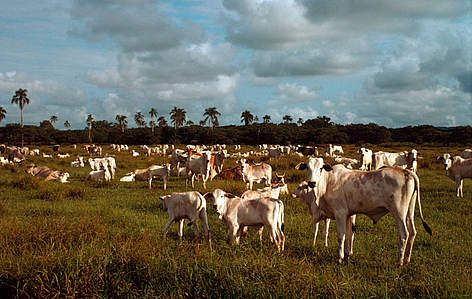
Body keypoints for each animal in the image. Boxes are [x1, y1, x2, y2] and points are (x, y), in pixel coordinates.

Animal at [296, 158, 432, 266]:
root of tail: (406, 172)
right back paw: (407, 259)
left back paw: (400, 262)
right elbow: (349, 234)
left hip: (399, 213)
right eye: (307, 167)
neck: (328, 182)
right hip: (410, 211)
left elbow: (341, 236)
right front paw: (347, 255)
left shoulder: (340, 213)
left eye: (321, 168)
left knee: (404, 235)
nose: (312, 183)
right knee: (413, 232)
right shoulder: (348, 214)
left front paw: (340, 258)